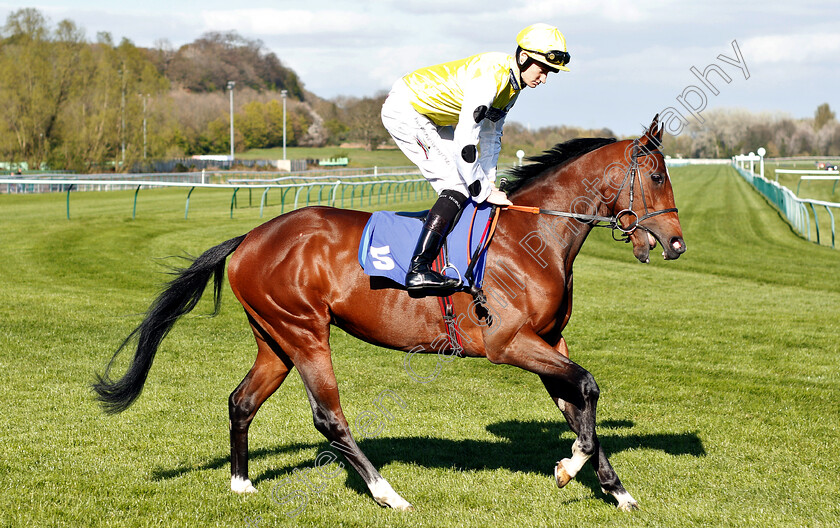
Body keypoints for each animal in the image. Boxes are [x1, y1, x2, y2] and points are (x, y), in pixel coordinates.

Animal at [93, 114, 684, 512]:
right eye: (657, 176)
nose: (676, 243)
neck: (532, 237)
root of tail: (248, 239)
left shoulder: (548, 341)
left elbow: (579, 404)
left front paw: (615, 490)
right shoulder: (510, 344)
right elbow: (586, 388)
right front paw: (570, 467)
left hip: (274, 338)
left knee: (242, 401)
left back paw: (241, 483)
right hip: (304, 331)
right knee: (328, 417)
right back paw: (387, 493)